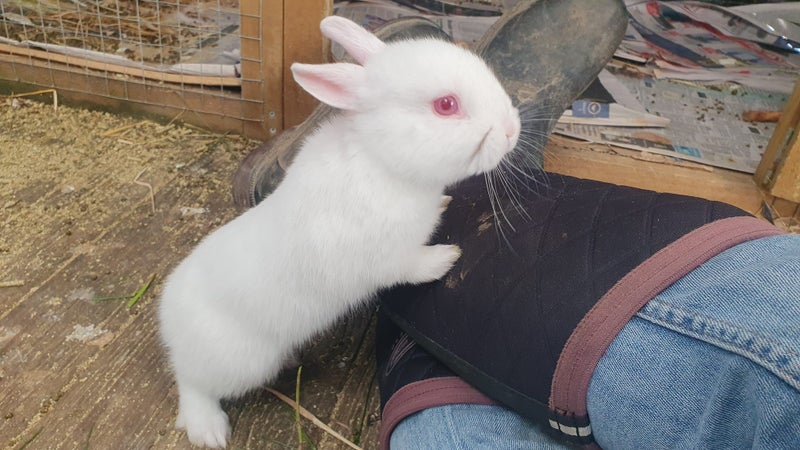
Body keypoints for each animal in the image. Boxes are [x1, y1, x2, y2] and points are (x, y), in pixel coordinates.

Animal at [158, 15, 520, 448]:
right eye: (445, 105)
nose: (513, 130)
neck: (383, 161)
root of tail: (168, 321)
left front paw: (444, 205)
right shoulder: (387, 258)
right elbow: (412, 267)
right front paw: (447, 258)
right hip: (237, 363)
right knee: (192, 385)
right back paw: (210, 430)